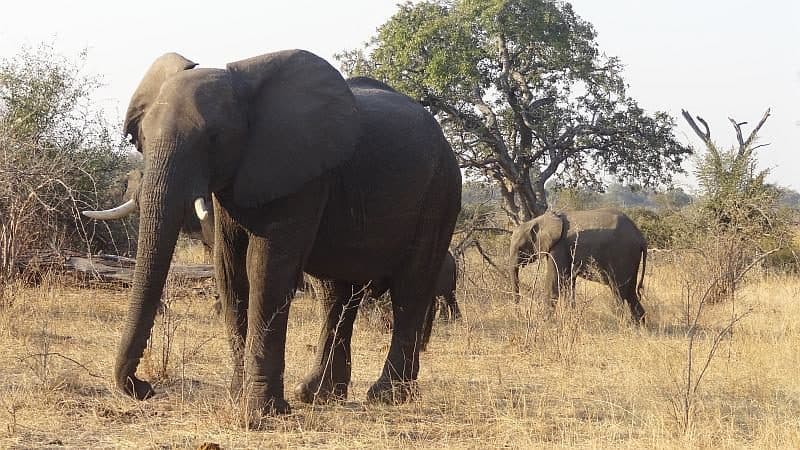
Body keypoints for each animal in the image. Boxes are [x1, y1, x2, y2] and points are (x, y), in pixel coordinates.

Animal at [83, 49, 460, 418]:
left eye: (214, 139)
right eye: (142, 140)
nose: (144, 388)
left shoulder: (300, 173)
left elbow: (266, 270)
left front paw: (261, 414)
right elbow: (230, 269)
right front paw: (239, 398)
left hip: (440, 194)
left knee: (410, 289)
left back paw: (387, 397)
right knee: (336, 295)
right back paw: (317, 395)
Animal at [510, 208, 648, 324]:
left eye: (520, 248)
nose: (518, 314)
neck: (538, 220)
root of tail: (641, 237)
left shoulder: (559, 247)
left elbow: (554, 281)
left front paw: (544, 322)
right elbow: (568, 282)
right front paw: (570, 317)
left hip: (622, 255)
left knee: (618, 291)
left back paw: (620, 323)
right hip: (631, 259)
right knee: (631, 293)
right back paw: (639, 329)